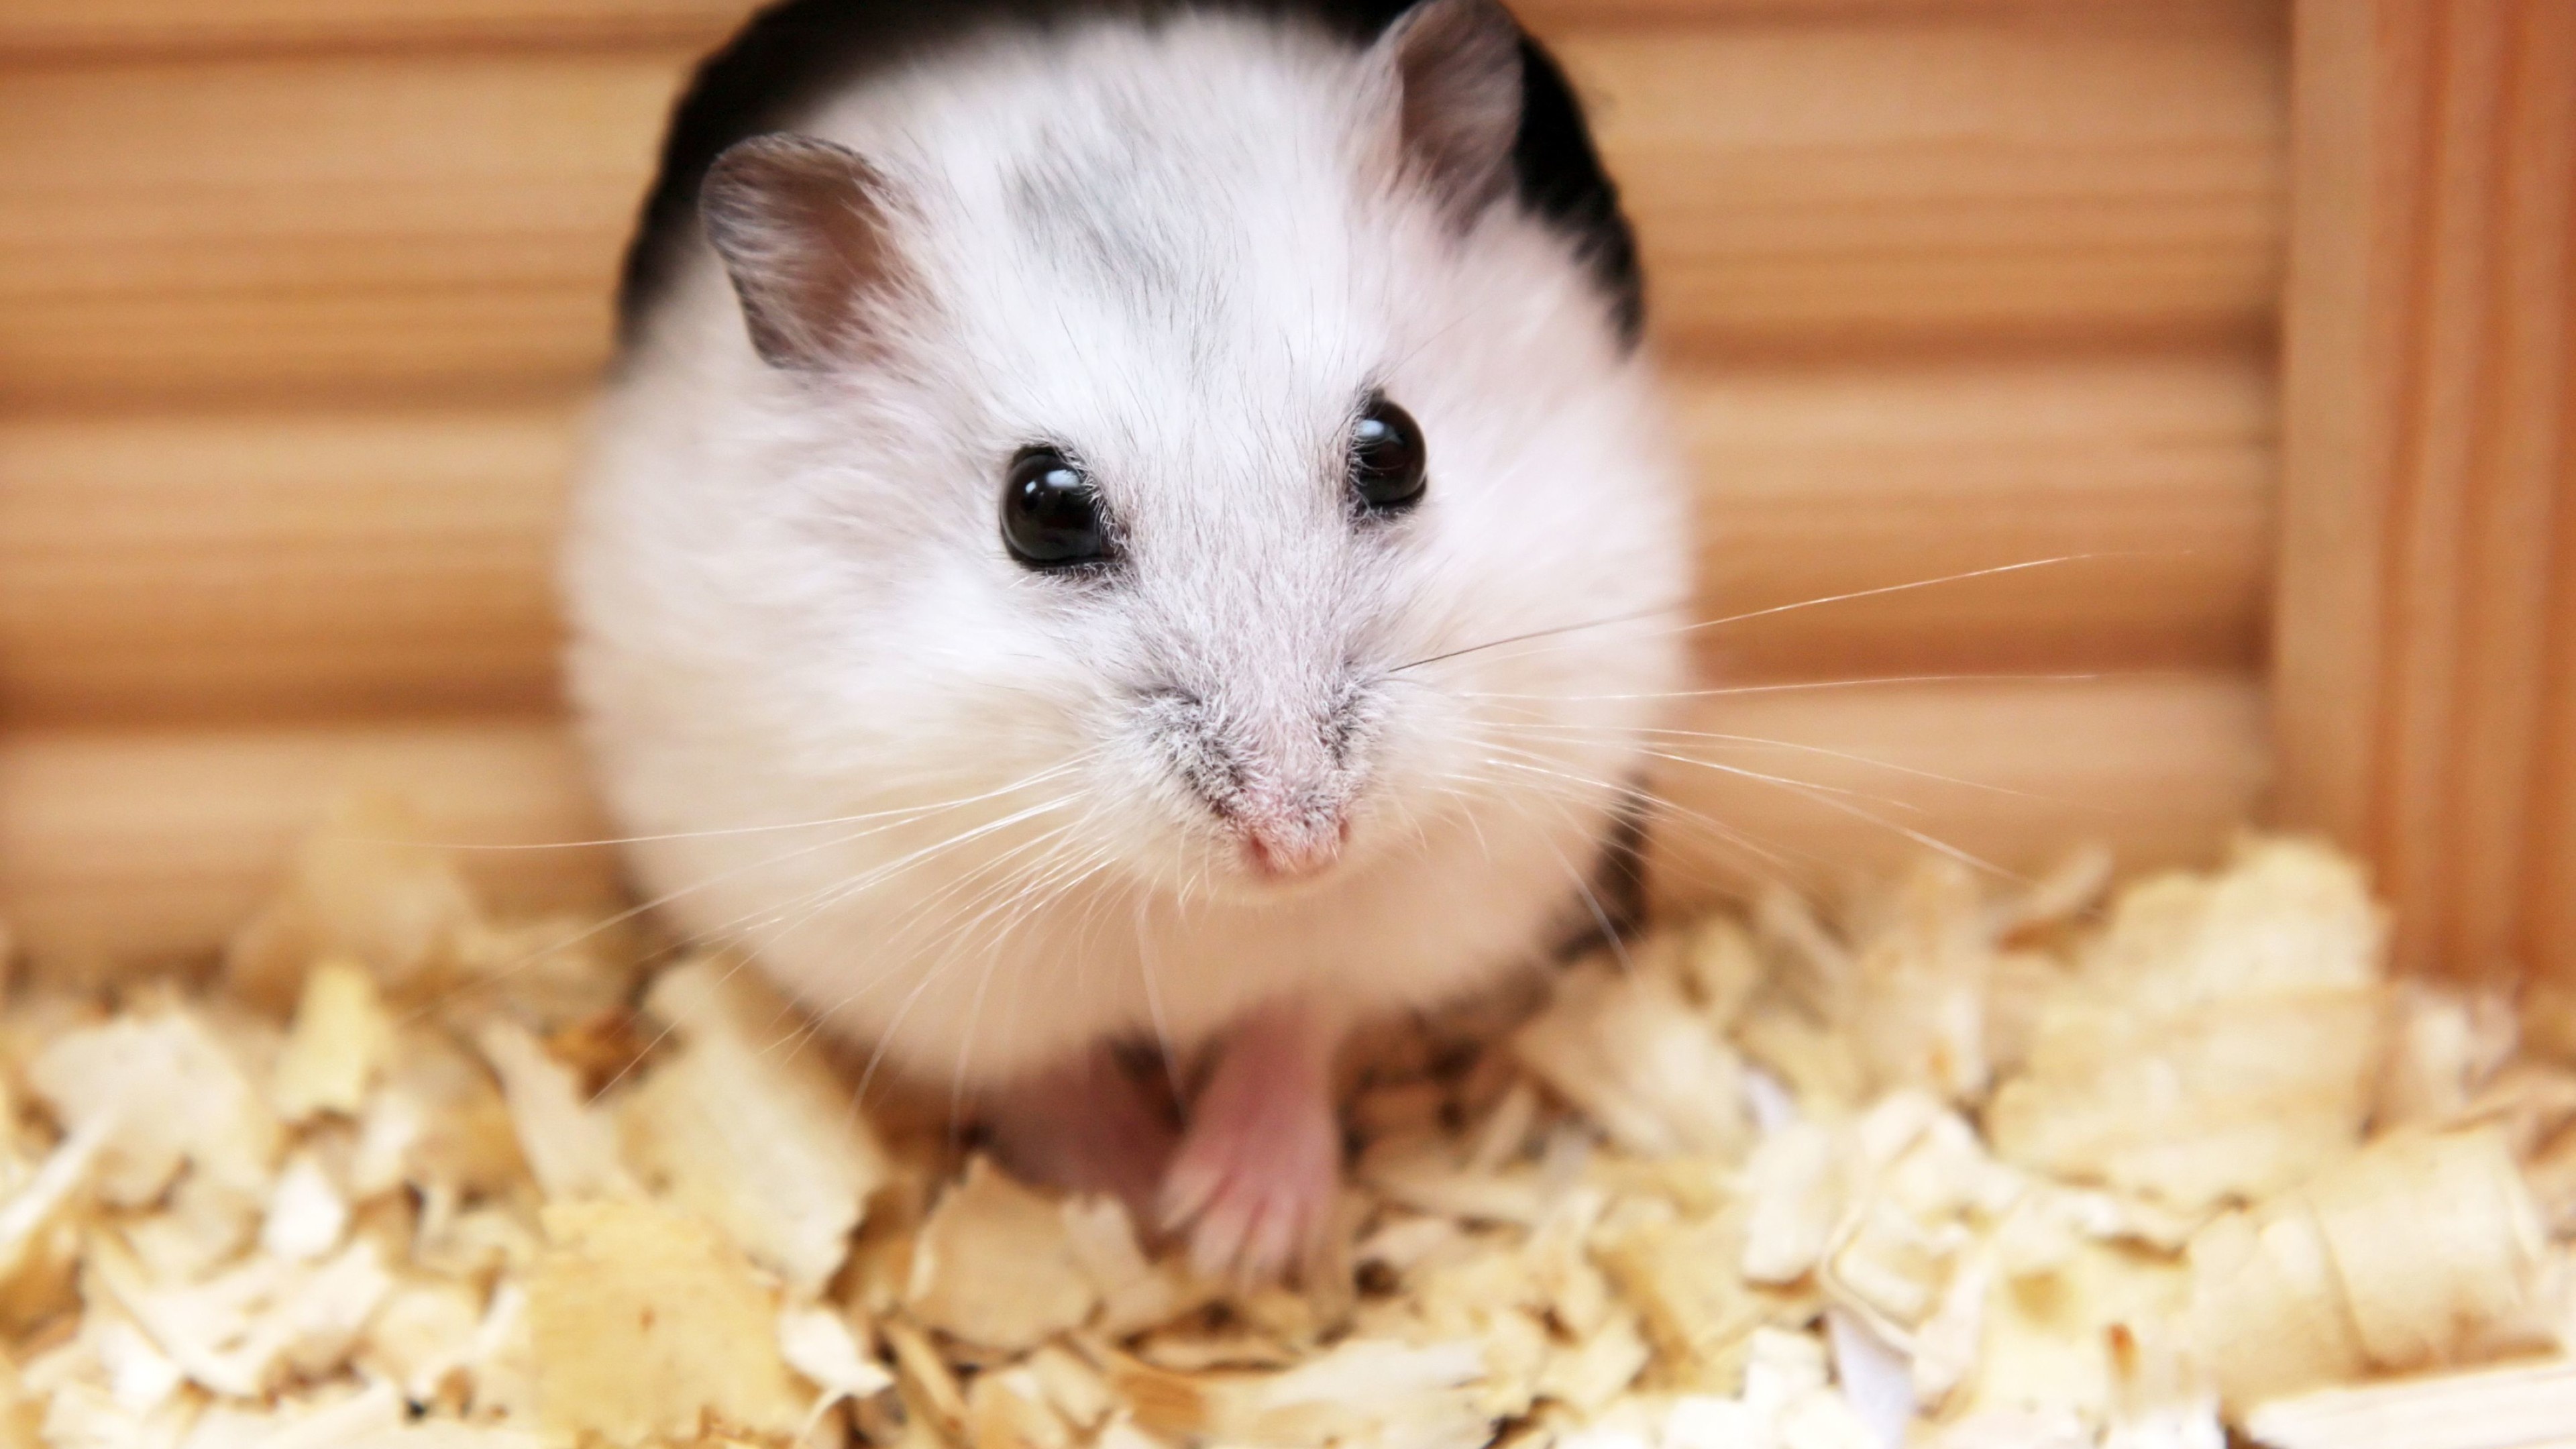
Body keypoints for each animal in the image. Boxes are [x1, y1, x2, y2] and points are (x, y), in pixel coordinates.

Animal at [564, 0, 1693, 1278]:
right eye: (1042, 509)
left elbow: (1300, 1018)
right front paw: (1134, 1202)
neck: (1200, 909)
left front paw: (1232, 1232)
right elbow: (1046, 1076)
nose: (1301, 847)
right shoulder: (903, 948)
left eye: (1396, 447)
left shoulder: (1426, 901)